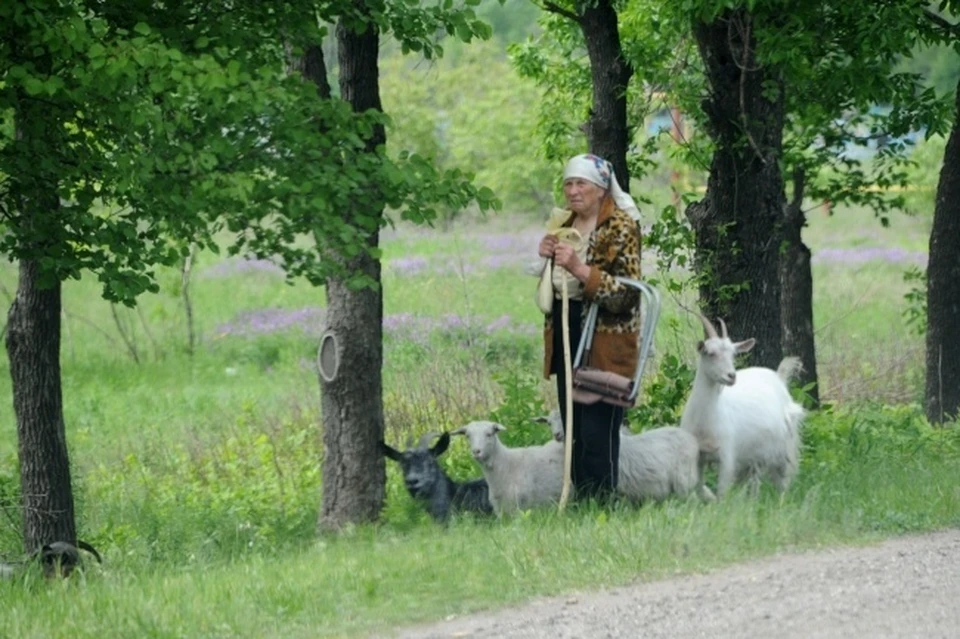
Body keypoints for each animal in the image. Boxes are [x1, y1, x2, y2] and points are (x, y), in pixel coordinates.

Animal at [680, 316, 808, 500]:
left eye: (734, 354)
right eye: (710, 353)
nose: (731, 376)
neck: (706, 419)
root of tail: (778, 377)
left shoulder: (727, 458)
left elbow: (722, 492)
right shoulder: (698, 457)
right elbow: (699, 488)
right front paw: (709, 497)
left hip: (784, 450)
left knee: (782, 482)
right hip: (753, 457)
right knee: (754, 481)